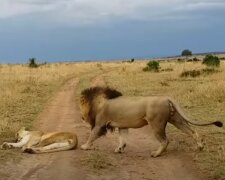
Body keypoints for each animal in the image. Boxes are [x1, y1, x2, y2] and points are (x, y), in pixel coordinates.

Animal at [80, 86, 222, 157]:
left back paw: (156, 154)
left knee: (165, 140)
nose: (81, 117)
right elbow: (122, 139)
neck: (99, 102)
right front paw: (119, 149)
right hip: (176, 119)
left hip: (156, 123)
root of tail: (166, 97)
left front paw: (85, 146)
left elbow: (92, 135)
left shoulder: (100, 124)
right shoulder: (123, 126)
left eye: (82, 104)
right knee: (192, 131)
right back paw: (200, 146)